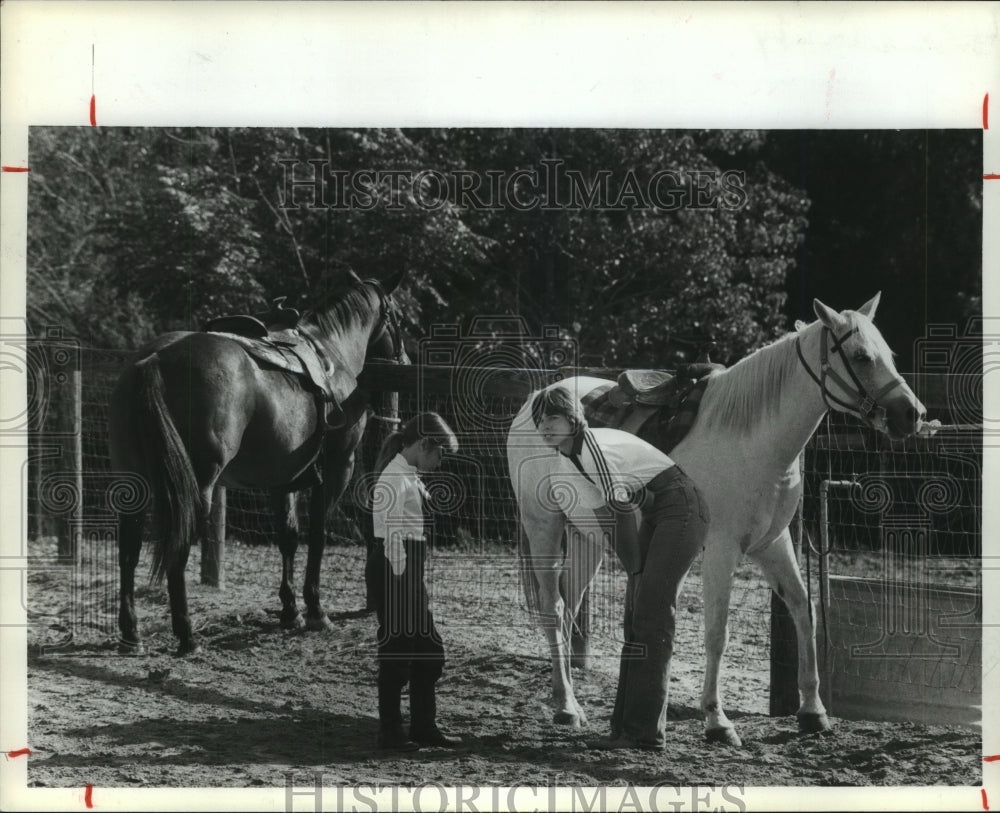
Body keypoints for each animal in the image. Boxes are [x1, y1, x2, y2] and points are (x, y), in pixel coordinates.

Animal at [108, 272, 406, 652]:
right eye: (399, 318)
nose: (404, 359)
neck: (333, 353)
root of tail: (154, 361)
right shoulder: (339, 467)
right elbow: (318, 535)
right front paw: (315, 610)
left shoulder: (284, 477)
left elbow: (288, 537)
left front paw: (291, 610)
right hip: (197, 486)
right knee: (177, 550)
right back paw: (187, 636)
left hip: (133, 481)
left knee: (128, 551)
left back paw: (131, 634)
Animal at [508, 294, 928, 744]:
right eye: (862, 357)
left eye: (889, 354)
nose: (912, 414)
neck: (753, 441)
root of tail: (535, 398)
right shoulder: (722, 550)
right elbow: (716, 632)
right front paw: (716, 719)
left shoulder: (773, 543)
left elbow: (803, 609)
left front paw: (813, 711)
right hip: (543, 525)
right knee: (553, 608)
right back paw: (567, 706)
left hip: (587, 537)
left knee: (568, 607)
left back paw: (566, 698)